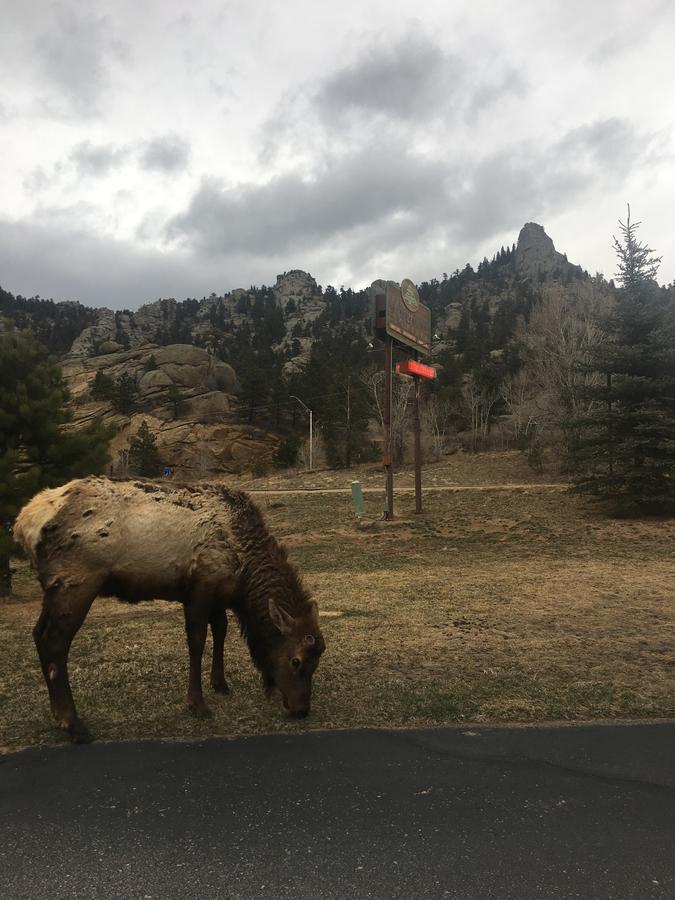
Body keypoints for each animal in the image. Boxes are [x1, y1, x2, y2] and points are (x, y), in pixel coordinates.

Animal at [12, 482, 324, 740]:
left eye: (317, 660)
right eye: (296, 661)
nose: (302, 709)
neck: (242, 573)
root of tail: (23, 523)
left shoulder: (218, 593)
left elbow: (221, 632)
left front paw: (220, 684)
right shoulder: (199, 586)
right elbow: (197, 641)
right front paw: (197, 704)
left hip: (56, 588)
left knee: (38, 634)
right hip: (77, 581)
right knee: (54, 642)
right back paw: (74, 724)